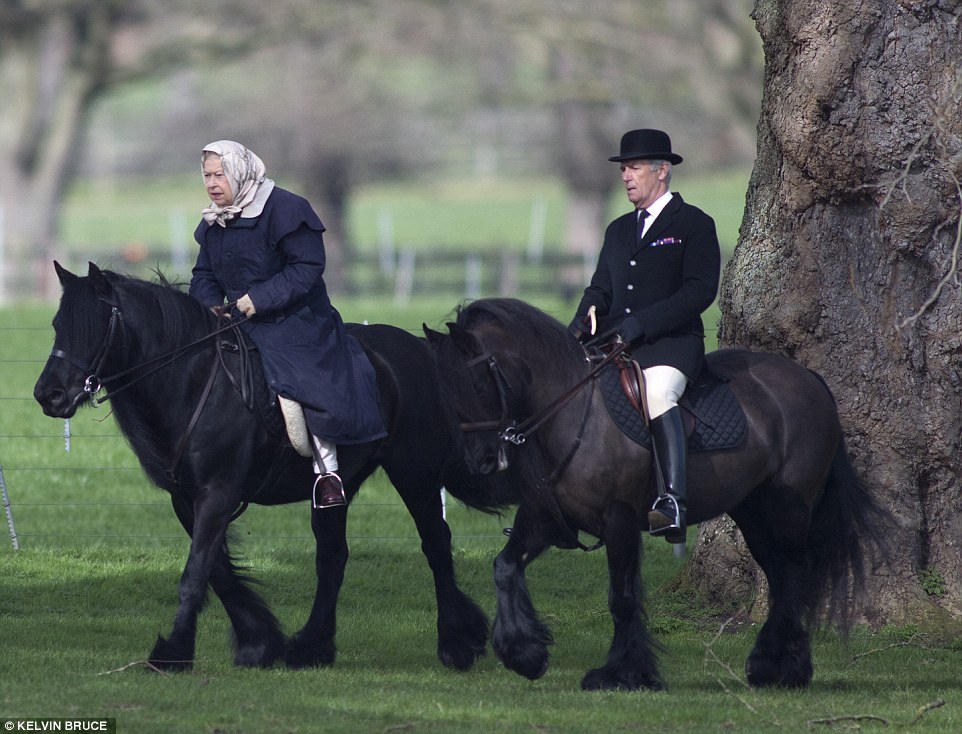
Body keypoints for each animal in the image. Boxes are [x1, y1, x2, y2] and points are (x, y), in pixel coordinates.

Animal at [31, 264, 516, 672]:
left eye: (94, 327)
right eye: (56, 325)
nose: (48, 395)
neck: (193, 381)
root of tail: (418, 350)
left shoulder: (218, 494)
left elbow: (195, 574)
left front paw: (173, 654)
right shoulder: (187, 498)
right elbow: (218, 572)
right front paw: (259, 642)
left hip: (414, 475)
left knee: (435, 544)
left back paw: (458, 643)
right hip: (335, 488)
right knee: (333, 558)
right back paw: (312, 647)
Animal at [424, 296, 888, 692]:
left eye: (476, 384)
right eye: (443, 387)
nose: (481, 461)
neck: (573, 414)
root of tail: (808, 378)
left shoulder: (620, 519)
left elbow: (622, 597)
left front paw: (622, 673)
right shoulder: (544, 518)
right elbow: (504, 568)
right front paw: (524, 653)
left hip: (788, 508)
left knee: (796, 574)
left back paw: (787, 668)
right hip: (753, 514)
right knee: (780, 575)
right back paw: (771, 665)